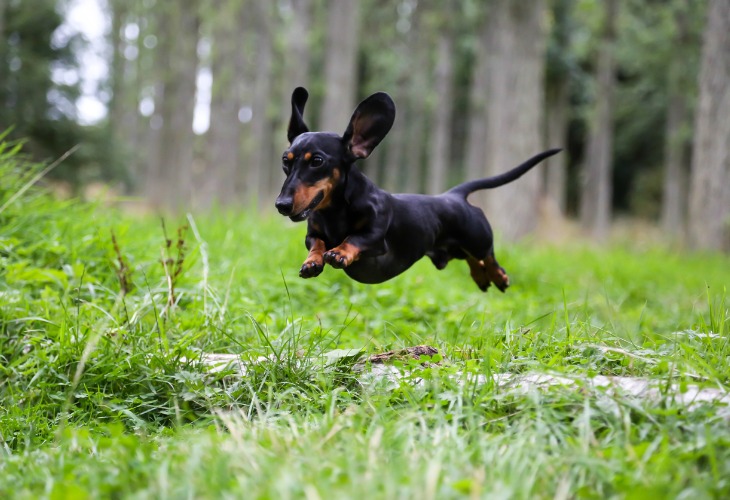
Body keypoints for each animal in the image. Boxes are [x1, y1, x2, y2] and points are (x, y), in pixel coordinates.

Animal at [272, 87, 556, 292]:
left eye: (317, 161)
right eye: (285, 161)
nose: (281, 205)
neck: (335, 212)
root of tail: (453, 195)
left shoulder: (376, 237)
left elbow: (354, 238)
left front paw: (340, 252)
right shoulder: (313, 234)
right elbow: (317, 243)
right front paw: (312, 261)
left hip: (478, 238)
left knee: (489, 256)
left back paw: (498, 277)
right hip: (456, 248)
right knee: (474, 260)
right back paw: (481, 278)